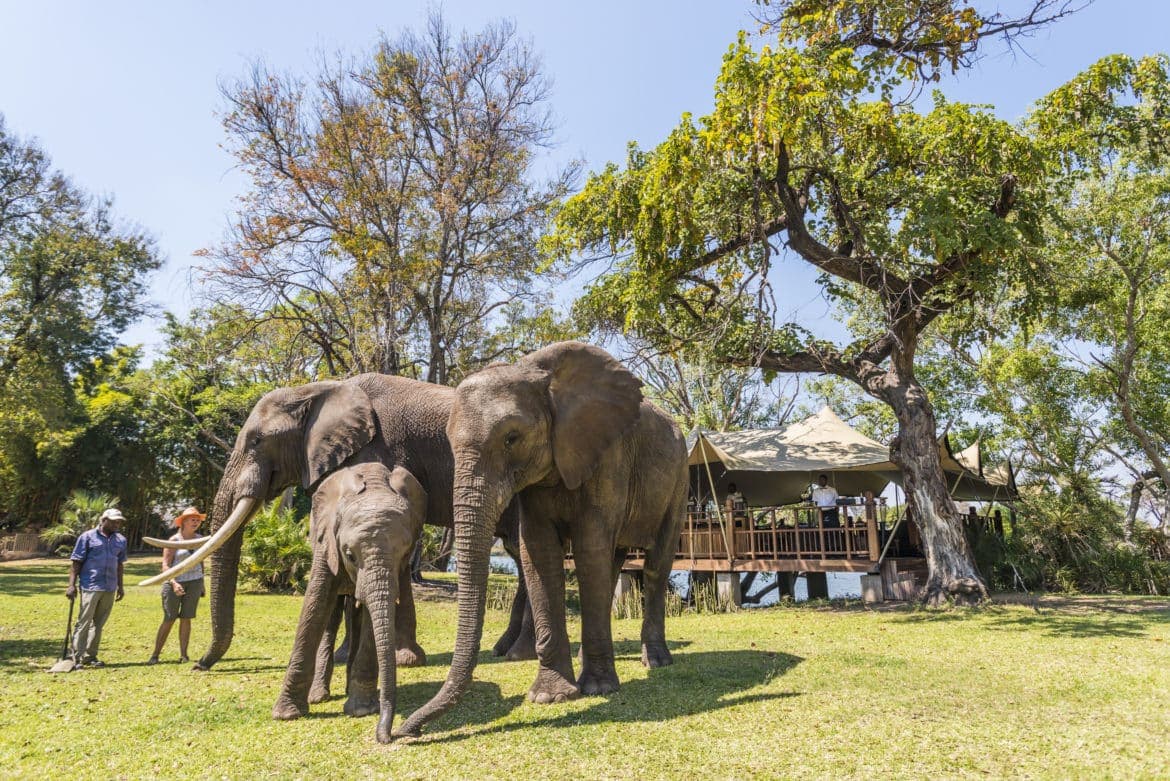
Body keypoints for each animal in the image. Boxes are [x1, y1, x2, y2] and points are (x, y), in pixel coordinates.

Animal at [142, 374, 536, 683]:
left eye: (256, 440)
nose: (198, 666)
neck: (317, 389)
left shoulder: (383, 450)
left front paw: (403, 659)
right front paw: (350, 654)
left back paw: (520, 653)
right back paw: (504, 649)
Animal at [272, 462, 425, 744]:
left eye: (404, 552)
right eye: (350, 555)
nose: (388, 736)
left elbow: (370, 619)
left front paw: (362, 710)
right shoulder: (327, 544)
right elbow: (314, 607)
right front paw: (286, 714)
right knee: (331, 617)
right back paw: (319, 695)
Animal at [395, 341, 688, 737]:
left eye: (511, 438)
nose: (403, 732)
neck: (537, 374)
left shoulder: (607, 456)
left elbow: (589, 546)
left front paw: (598, 689)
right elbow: (539, 551)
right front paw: (551, 696)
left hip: (680, 476)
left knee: (657, 562)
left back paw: (656, 662)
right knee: (614, 561)